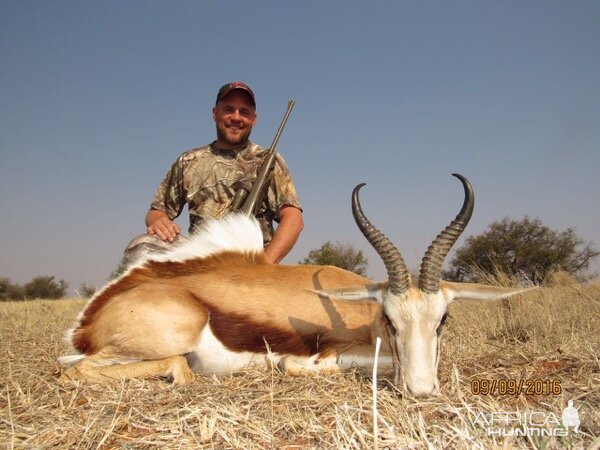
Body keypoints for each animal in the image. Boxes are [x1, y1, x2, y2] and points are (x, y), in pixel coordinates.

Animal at [59, 174, 528, 396]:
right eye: (390, 320)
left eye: (443, 320)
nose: (421, 390)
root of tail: (91, 319)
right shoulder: (333, 352)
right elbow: (308, 364)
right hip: (171, 336)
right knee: (80, 370)